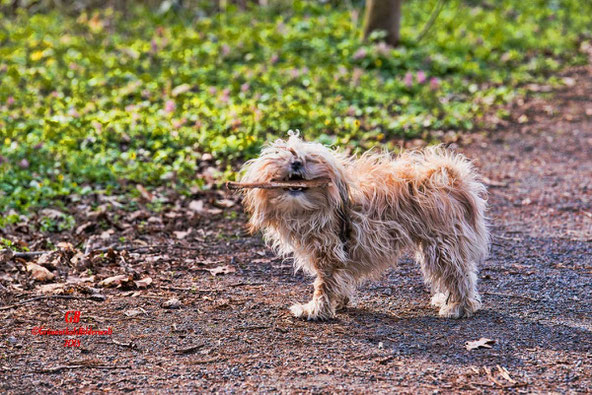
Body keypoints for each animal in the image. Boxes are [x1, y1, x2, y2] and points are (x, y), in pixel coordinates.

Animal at [238, 133, 488, 322]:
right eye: (285, 155)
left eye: (308, 158)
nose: (296, 163)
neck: (310, 209)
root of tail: (450, 180)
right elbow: (339, 281)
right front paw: (339, 302)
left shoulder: (329, 252)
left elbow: (324, 284)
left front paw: (316, 310)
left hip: (440, 244)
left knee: (459, 275)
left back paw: (457, 306)